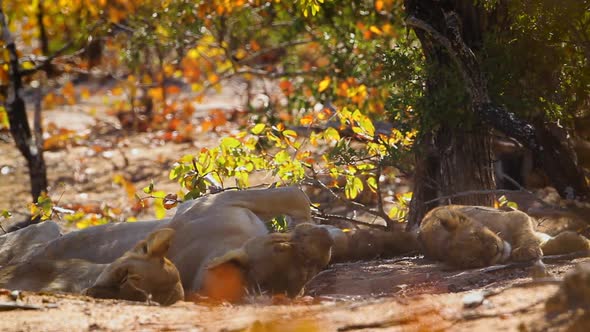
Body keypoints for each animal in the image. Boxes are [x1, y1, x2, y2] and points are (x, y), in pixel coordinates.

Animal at [420, 206, 590, 268]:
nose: (496, 250)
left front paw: (526, 250)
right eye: (473, 261)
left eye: (477, 235)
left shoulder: (517, 216)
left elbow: (527, 235)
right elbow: (546, 244)